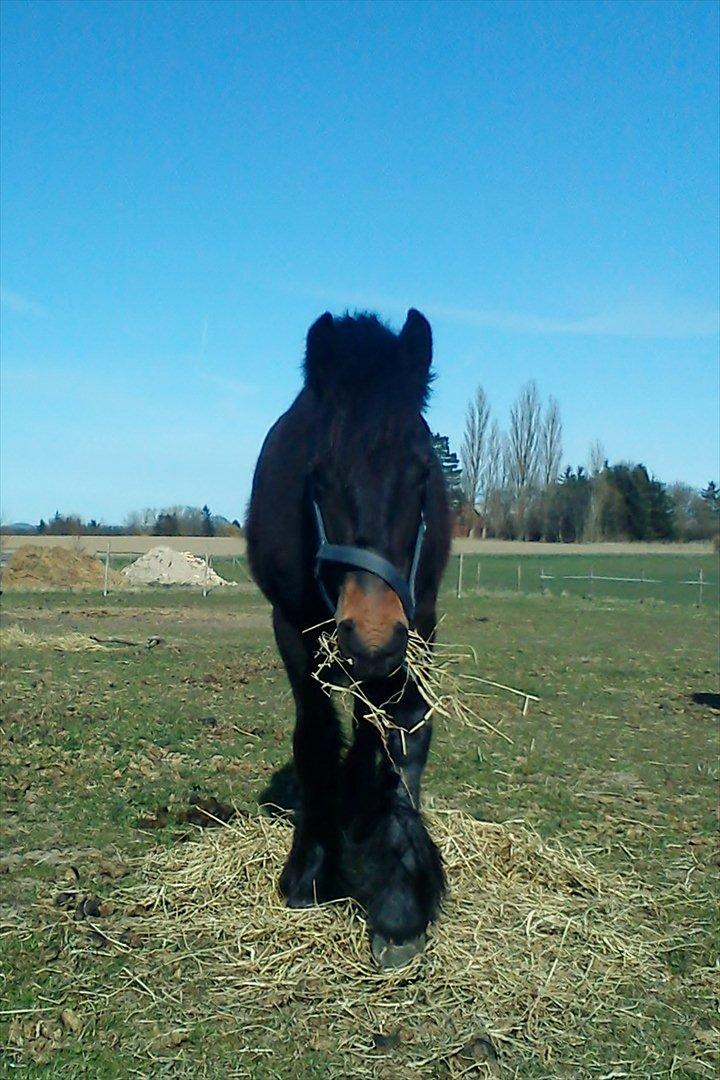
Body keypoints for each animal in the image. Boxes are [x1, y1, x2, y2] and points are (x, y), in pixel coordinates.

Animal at [246, 309, 451, 968]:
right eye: (319, 476)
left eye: (422, 472)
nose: (373, 635)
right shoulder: (292, 627)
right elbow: (315, 735)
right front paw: (309, 870)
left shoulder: (417, 624)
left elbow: (392, 741)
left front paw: (397, 897)